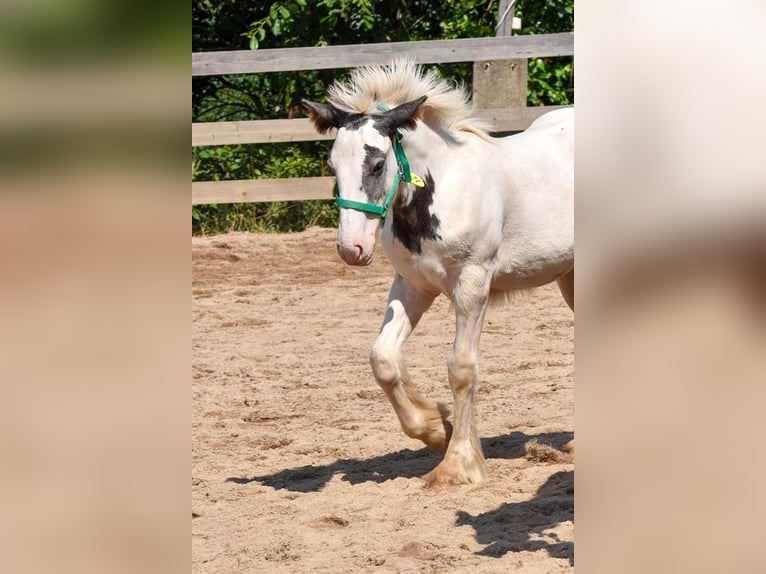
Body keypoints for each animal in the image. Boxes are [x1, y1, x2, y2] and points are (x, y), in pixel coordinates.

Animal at [304, 59, 572, 490]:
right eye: (332, 166)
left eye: (377, 163)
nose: (351, 248)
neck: (444, 189)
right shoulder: (413, 286)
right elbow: (383, 358)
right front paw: (435, 428)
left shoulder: (473, 285)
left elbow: (461, 369)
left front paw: (457, 465)